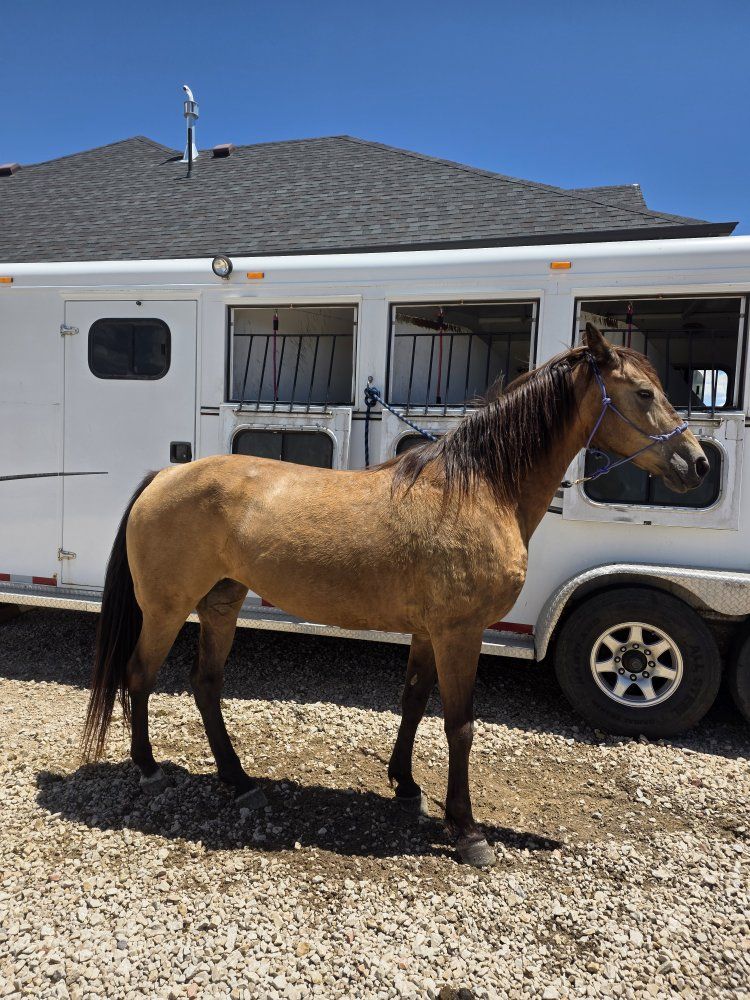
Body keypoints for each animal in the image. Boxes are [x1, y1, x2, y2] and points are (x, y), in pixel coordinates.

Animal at [82, 324, 708, 867]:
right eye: (644, 392)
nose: (696, 463)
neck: (478, 488)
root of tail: (164, 477)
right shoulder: (460, 633)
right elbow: (459, 725)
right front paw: (468, 831)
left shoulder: (430, 633)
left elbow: (412, 702)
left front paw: (406, 787)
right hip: (166, 609)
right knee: (139, 677)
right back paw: (148, 767)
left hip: (221, 604)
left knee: (206, 686)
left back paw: (239, 782)